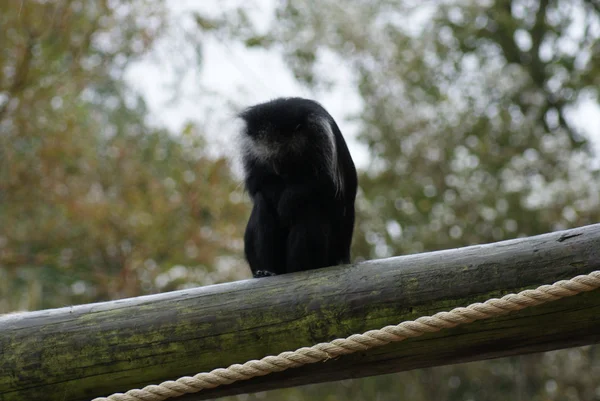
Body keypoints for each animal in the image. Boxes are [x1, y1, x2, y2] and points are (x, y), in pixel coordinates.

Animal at [238, 98, 356, 276]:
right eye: (271, 161)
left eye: (288, 158)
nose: (280, 171)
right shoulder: (252, 152)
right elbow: (256, 185)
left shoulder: (322, 138)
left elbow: (328, 186)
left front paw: (286, 202)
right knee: (261, 203)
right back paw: (266, 271)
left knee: (309, 207)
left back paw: (301, 268)